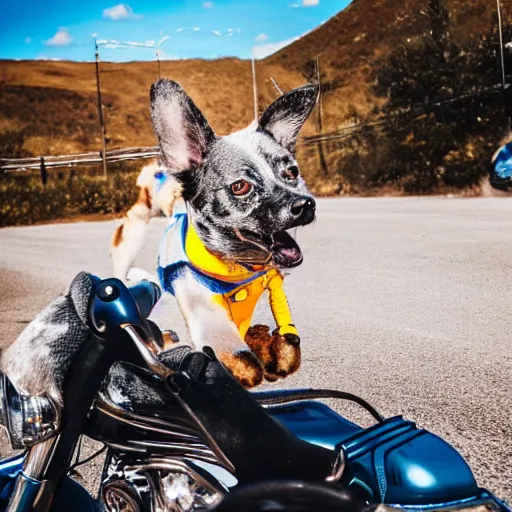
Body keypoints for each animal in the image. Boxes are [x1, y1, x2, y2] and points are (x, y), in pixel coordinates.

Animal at [111, 78, 318, 386]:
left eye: (292, 172)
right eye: (240, 187)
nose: (305, 204)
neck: (238, 267)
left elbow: (285, 343)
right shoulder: (201, 303)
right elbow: (238, 357)